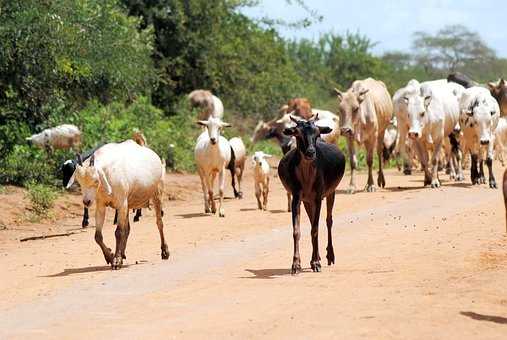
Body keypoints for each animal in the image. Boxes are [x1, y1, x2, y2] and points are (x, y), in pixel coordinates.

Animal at [65, 139, 168, 270]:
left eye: (96, 180)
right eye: (79, 181)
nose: (86, 202)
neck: (108, 171)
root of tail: (157, 158)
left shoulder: (121, 204)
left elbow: (119, 232)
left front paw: (116, 260)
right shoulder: (101, 206)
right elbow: (98, 236)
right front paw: (110, 256)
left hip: (157, 194)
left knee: (159, 223)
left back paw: (164, 251)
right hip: (128, 205)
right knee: (127, 229)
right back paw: (122, 253)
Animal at [276, 114, 348, 274]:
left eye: (317, 133)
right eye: (297, 133)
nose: (310, 152)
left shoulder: (318, 197)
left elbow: (315, 229)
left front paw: (316, 263)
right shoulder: (297, 198)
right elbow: (297, 231)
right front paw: (296, 264)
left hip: (331, 193)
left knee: (328, 221)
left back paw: (329, 256)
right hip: (307, 201)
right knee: (312, 221)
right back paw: (318, 256)